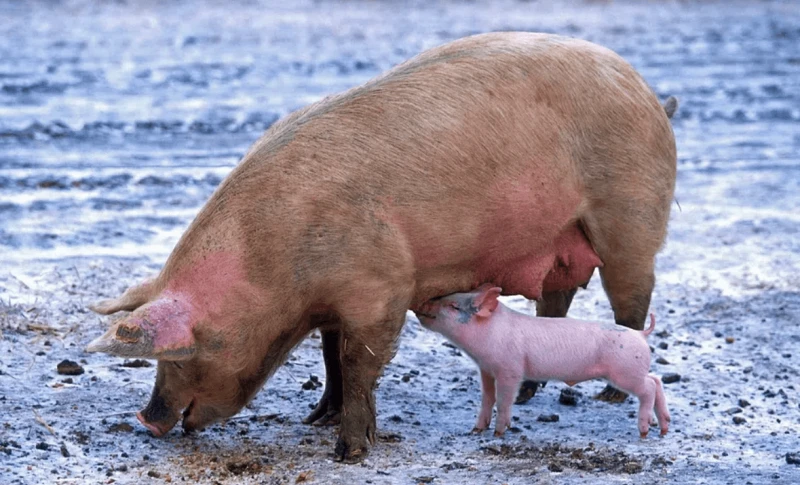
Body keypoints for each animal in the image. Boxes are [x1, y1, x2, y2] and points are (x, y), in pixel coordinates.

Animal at [416, 285, 670, 438]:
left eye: (453, 306)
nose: (421, 304)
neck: (490, 333)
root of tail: (641, 334)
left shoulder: (510, 369)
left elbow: (504, 400)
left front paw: (499, 433)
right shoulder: (486, 369)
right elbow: (487, 398)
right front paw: (476, 430)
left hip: (625, 372)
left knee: (648, 387)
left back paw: (645, 430)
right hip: (633, 370)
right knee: (656, 380)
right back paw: (663, 427)